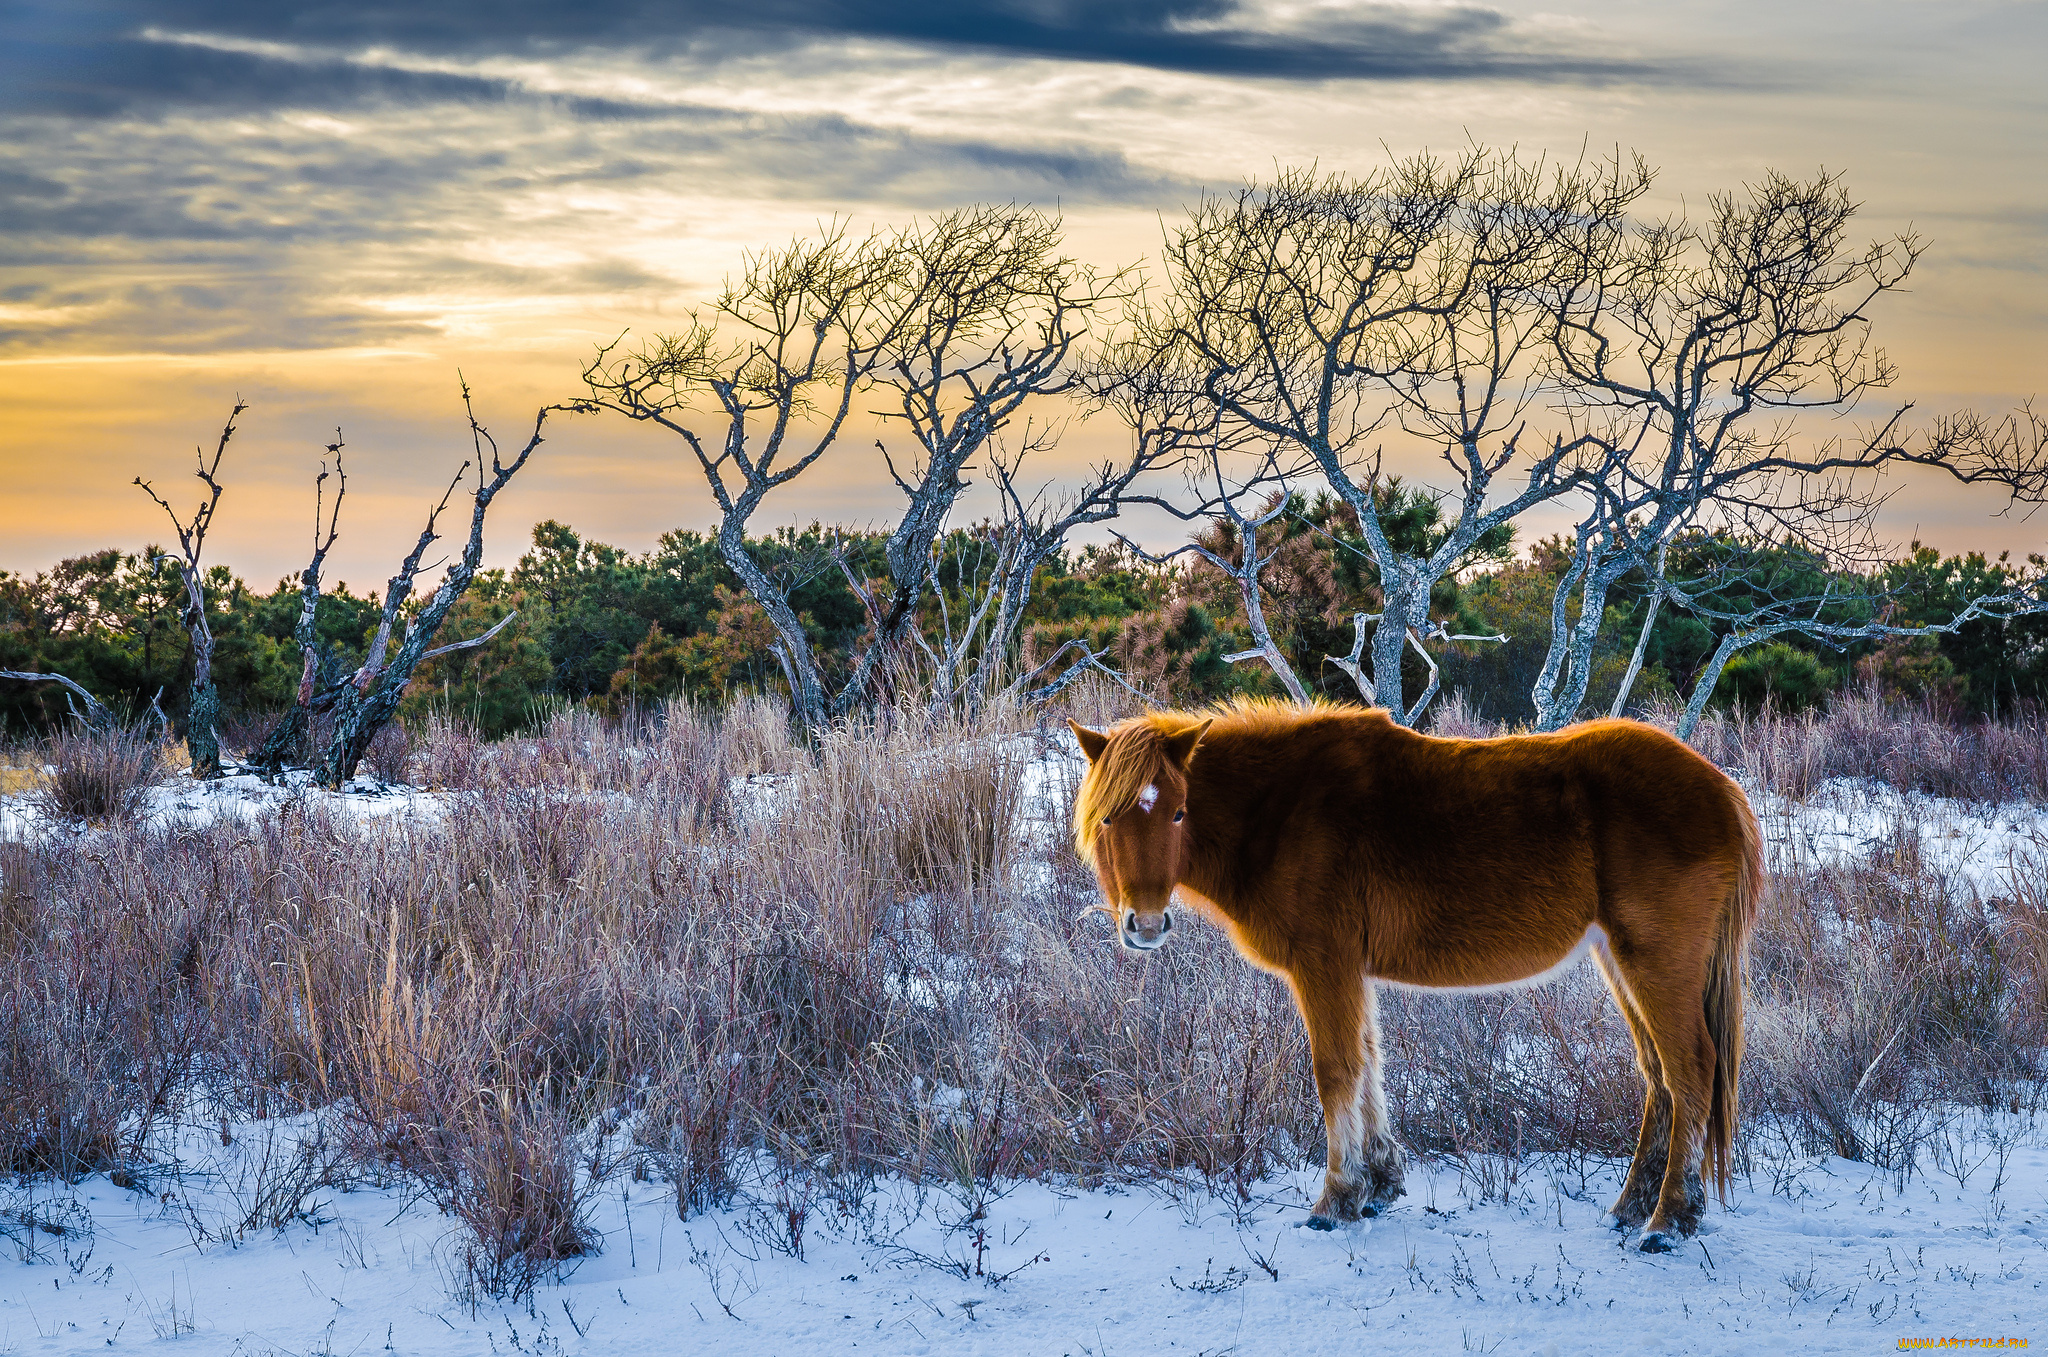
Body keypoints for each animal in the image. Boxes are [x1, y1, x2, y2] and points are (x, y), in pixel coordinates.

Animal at [1073, 699, 1761, 1252]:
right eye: (1108, 818)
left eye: (1179, 813)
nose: (1146, 925)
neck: (1284, 810)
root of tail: (1720, 790)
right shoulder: (1350, 972)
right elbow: (1368, 1063)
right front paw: (1377, 1184)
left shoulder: (1325, 965)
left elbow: (1336, 1070)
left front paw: (1336, 1200)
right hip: (1620, 961)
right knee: (1660, 1077)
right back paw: (1630, 1209)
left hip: (1656, 963)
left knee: (1690, 1068)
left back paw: (1668, 1222)